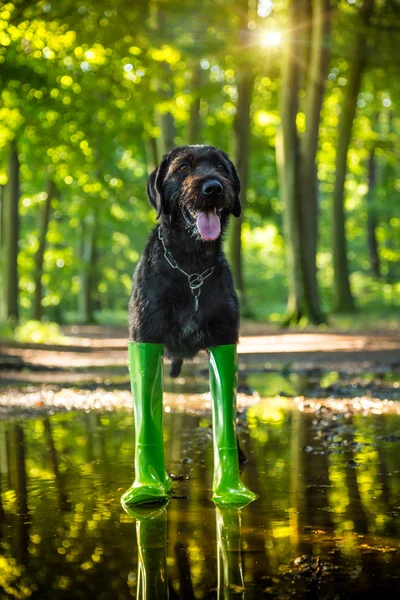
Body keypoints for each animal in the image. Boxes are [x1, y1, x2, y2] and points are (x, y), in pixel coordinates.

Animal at [129, 145, 241, 378]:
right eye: (183, 167)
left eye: (220, 167)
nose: (213, 188)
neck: (192, 267)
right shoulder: (146, 337)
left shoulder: (225, 339)